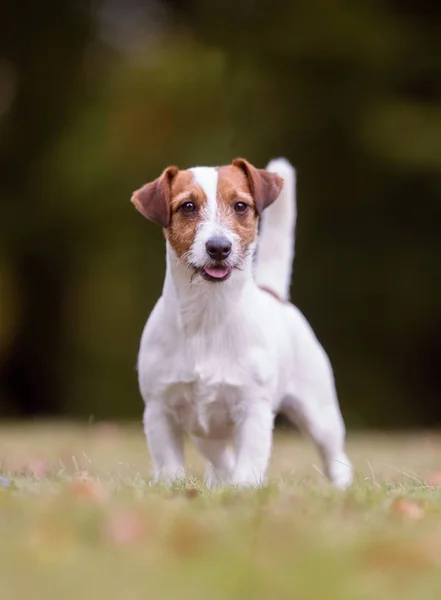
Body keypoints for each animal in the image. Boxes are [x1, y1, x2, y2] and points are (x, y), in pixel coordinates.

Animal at [131, 156, 350, 488]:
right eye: (188, 206)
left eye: (240, 206)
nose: (219, 247)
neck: (207, 318)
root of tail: (274, 294)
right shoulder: (159, 410)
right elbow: (170, 465)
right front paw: (174, 488)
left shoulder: (254, 409)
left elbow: (249, 462)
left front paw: (244, 490)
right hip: (204, 432)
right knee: (220, 457)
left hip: (319, 413)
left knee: (336, 456)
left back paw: (341, 486)